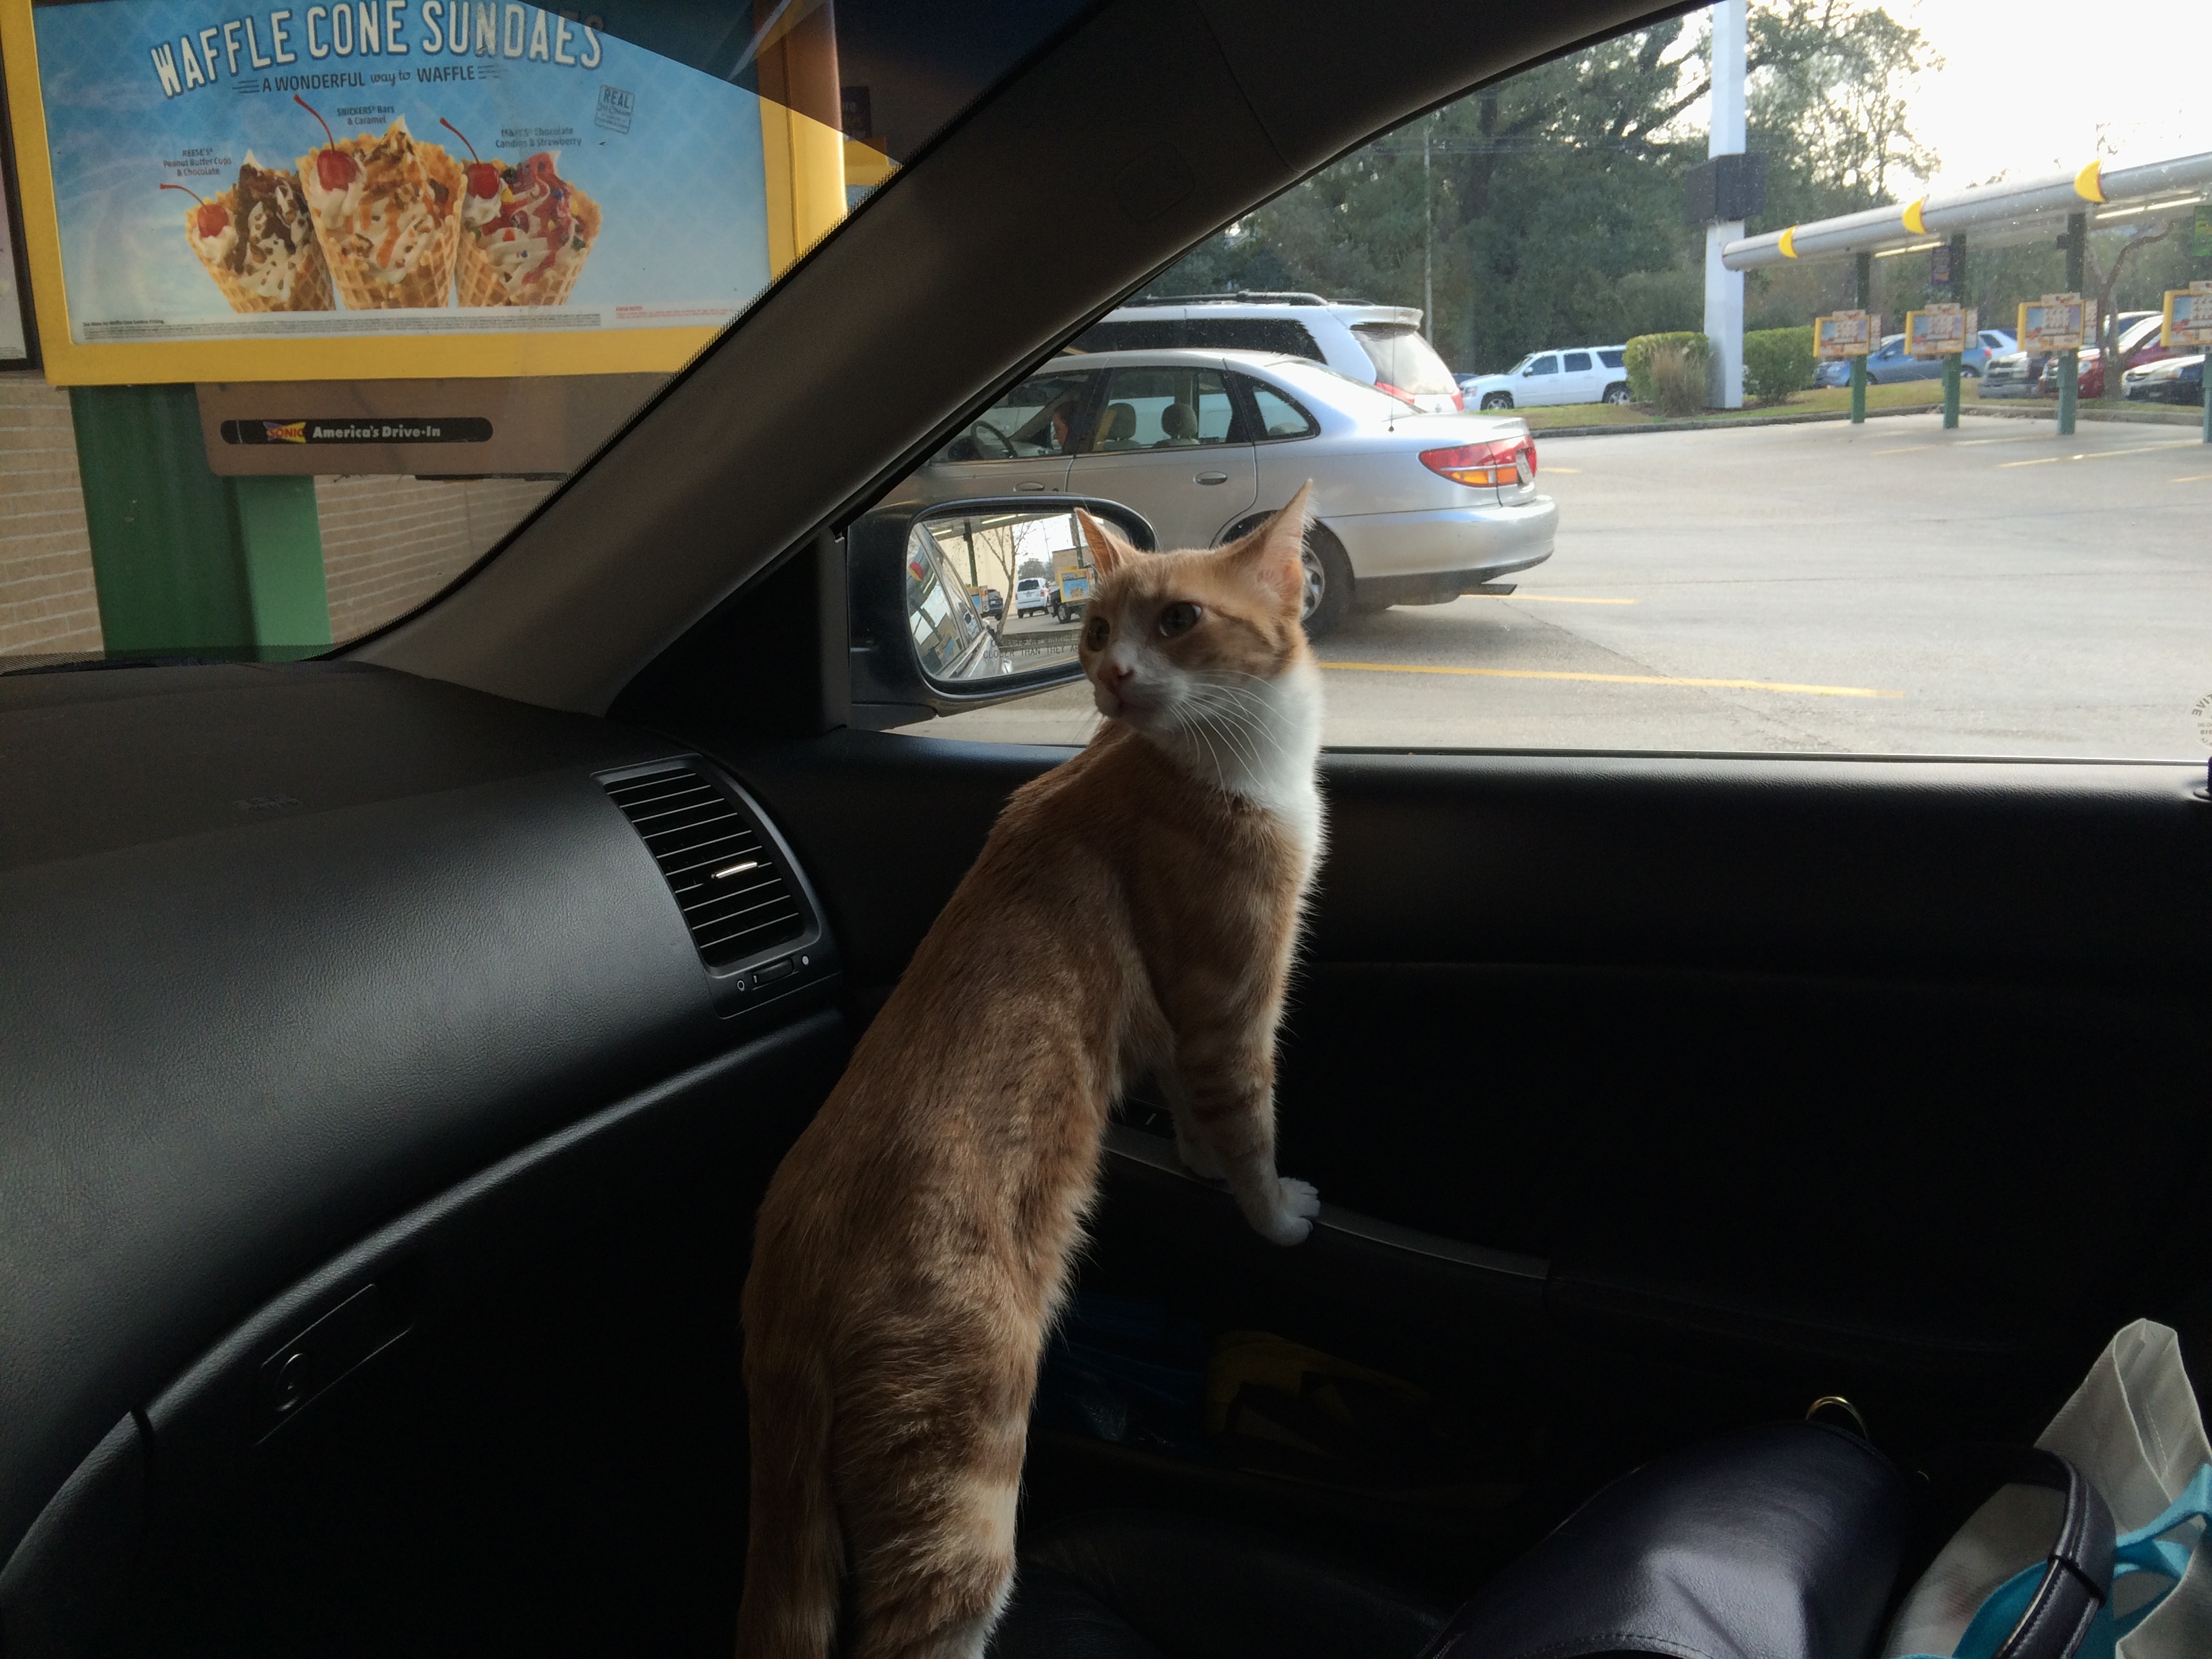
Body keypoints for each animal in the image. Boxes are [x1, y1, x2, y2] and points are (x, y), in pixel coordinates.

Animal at [735, 481, 1327, 1659]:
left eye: (1177, 622)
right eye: (1098, 630)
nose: (1112, 675)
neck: (1219, 756)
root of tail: (791, 1260)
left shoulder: (1178, 1026)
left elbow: (1193, 1115)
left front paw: (1198, 1166)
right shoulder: (1231, 1006)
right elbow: (1248, 1124)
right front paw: (1276, 1214)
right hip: (963, 1460)